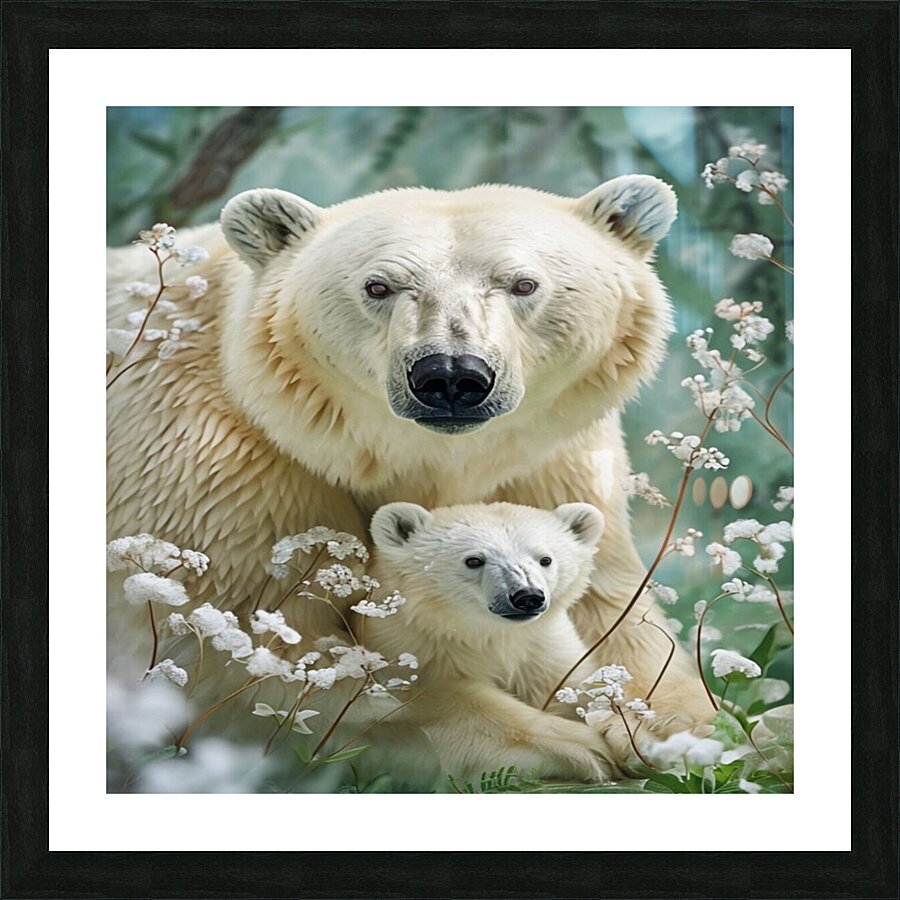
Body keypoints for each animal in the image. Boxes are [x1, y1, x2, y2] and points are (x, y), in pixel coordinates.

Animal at [107, 177, 711, 730]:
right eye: (378, 286)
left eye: (523, 283)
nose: (451, 375)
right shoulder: (226, 474)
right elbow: (259, 651)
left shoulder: (551, 464)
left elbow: (615, 620)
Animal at [366, 499, 643, 783]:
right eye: (474, 560)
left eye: (545, 559)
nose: (527, 596)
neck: (491, 635)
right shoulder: (418, 652)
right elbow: (461, 706)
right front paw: (587, 750)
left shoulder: (543, 649)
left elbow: (576, 685)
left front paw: (630, 735)